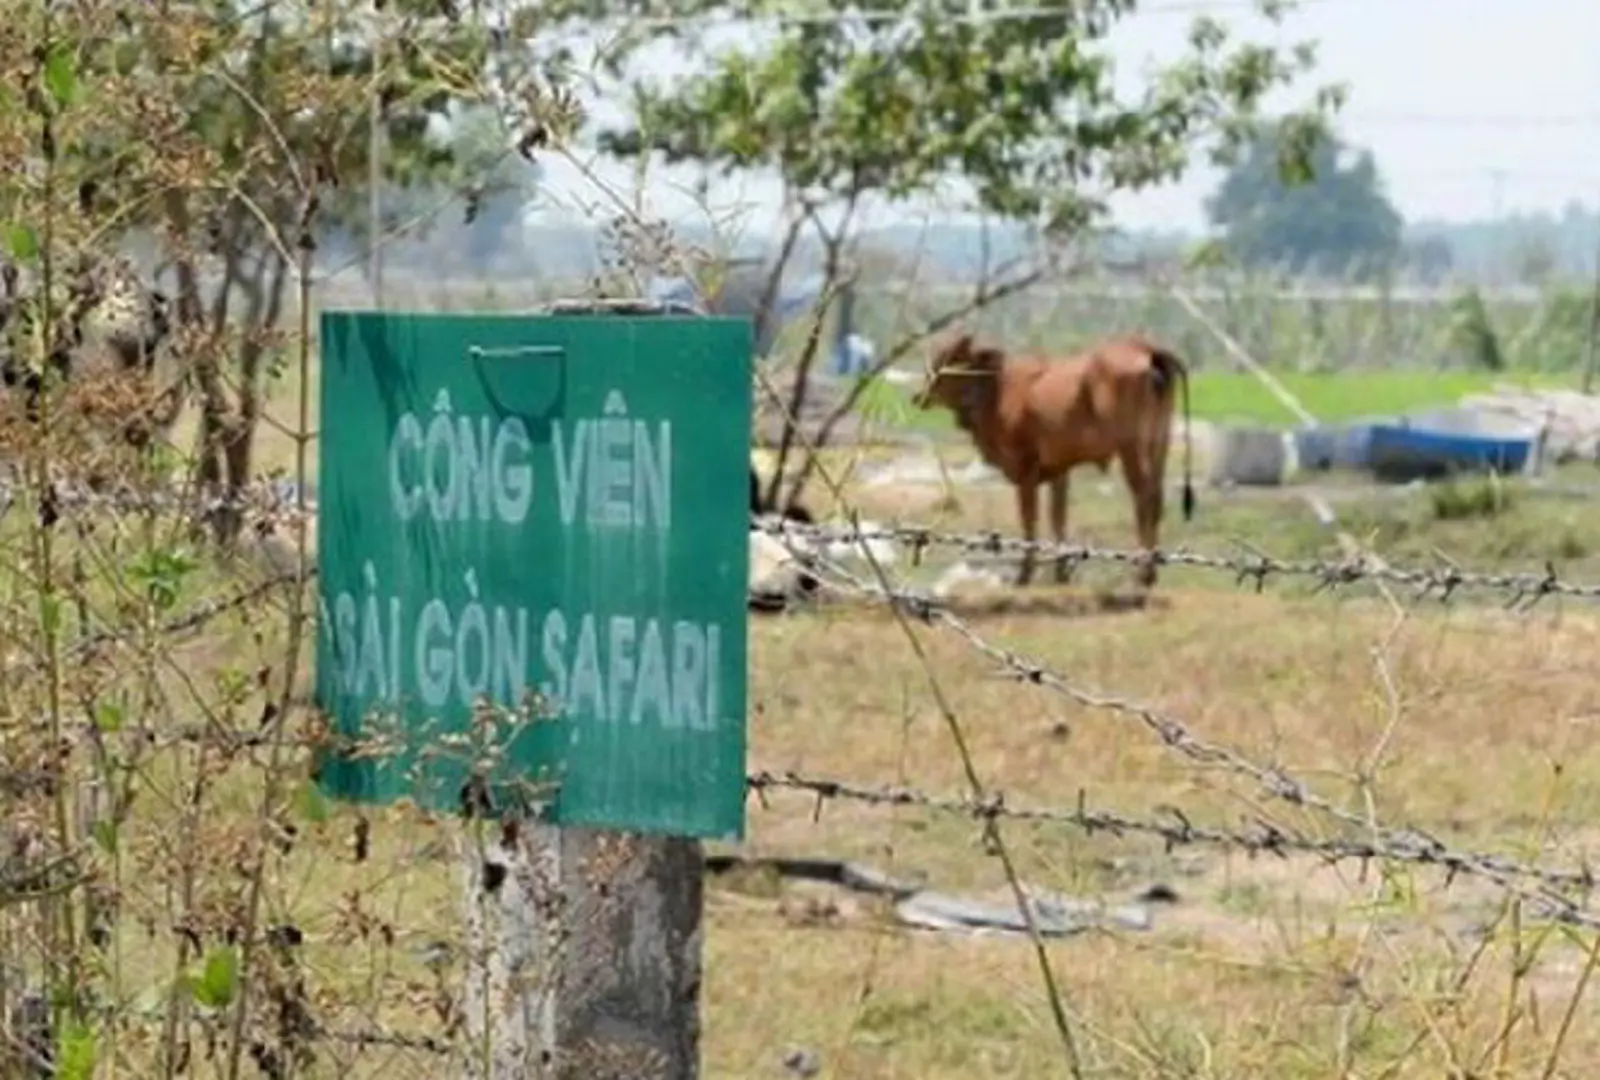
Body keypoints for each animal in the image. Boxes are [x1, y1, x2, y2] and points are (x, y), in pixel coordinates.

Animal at [915, 331, 1190, 592]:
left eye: (948, 358)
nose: (918, 396)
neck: (997, 390)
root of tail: (1148, 349)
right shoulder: (1060, 469)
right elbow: (1058, 518)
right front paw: (1061, 574)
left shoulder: (1025, 468)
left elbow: (1030, 521)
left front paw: (1024, 576)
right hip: (1159, 441)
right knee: (1156, 498)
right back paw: (1150, 573)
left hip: (1130, 447)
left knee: (1144, 499)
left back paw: (1142, 575)